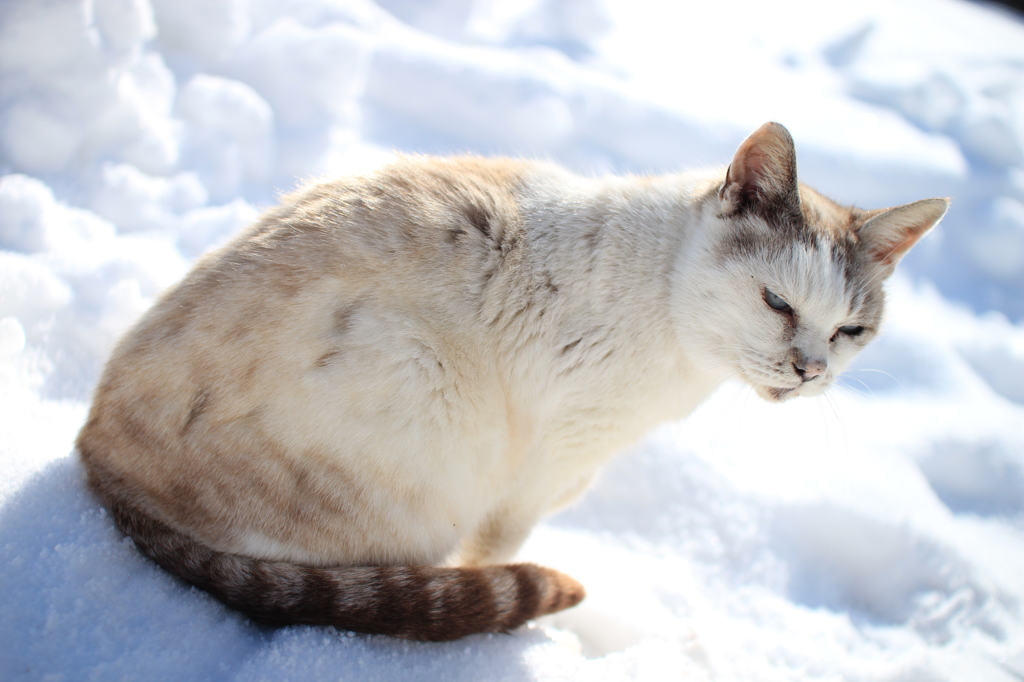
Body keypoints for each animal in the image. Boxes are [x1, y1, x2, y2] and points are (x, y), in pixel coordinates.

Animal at [77, 120, 950, 638]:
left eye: (850, 331)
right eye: (776, 303)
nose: (810, 371)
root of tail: (93, 450)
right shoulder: (541, 467)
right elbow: (495, 555)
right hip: (421, 392)